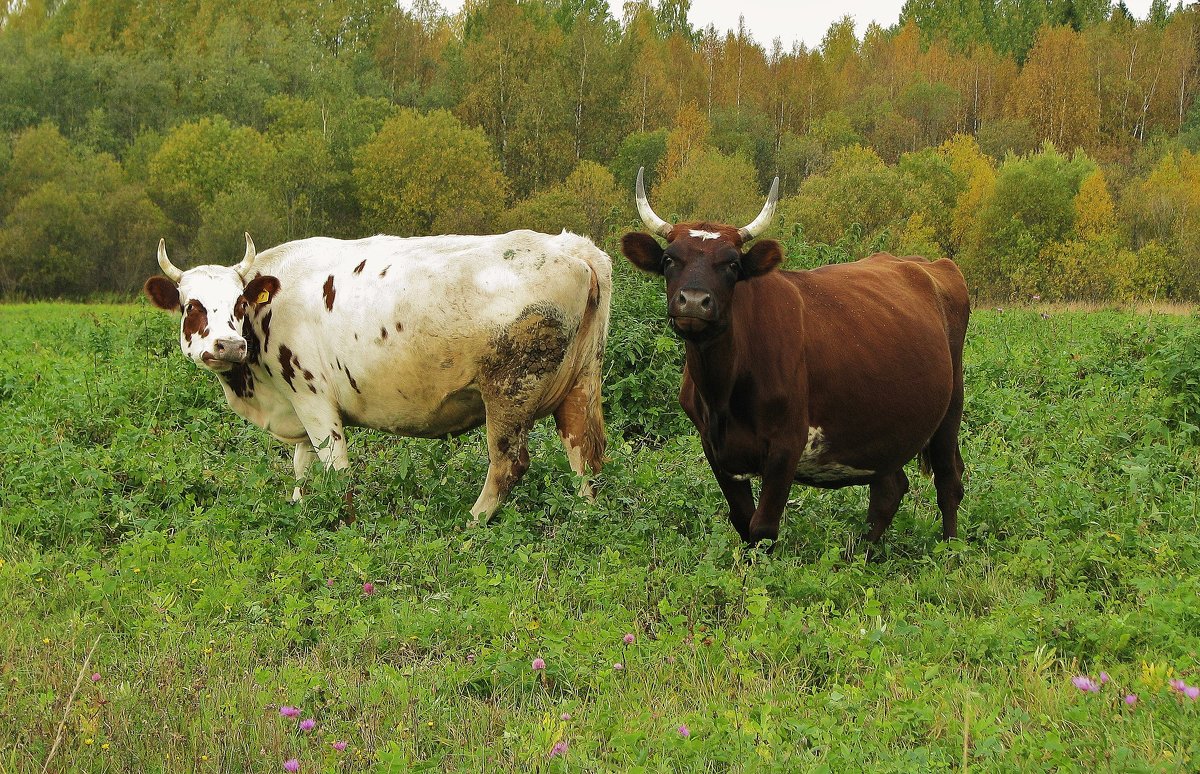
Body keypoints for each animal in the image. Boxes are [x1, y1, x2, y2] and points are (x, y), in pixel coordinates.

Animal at [145, 229, 609, 518]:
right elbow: (302, 467)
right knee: (584, 457)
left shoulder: (313, 397)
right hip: (581, 384)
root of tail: (574, 248)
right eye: (191, 306)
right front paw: (300, 509)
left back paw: (472, 523)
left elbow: (335, 468)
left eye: (240, 303)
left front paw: (343, 522)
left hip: (509, 390)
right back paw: (584, 516)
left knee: (508, 464)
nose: (229, 345)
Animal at [624, 168, 969, 549]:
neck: (723, 390)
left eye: (732, 264)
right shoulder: (715, 448)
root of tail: (929, 264)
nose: (694, 301)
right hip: (887, 424)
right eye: (669, 259)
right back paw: (862, 555)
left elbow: (763, 528)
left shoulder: (786, 446)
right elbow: (743, 522)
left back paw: (950, 549)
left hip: (951, 405)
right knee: (889, 489)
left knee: (948, 481)